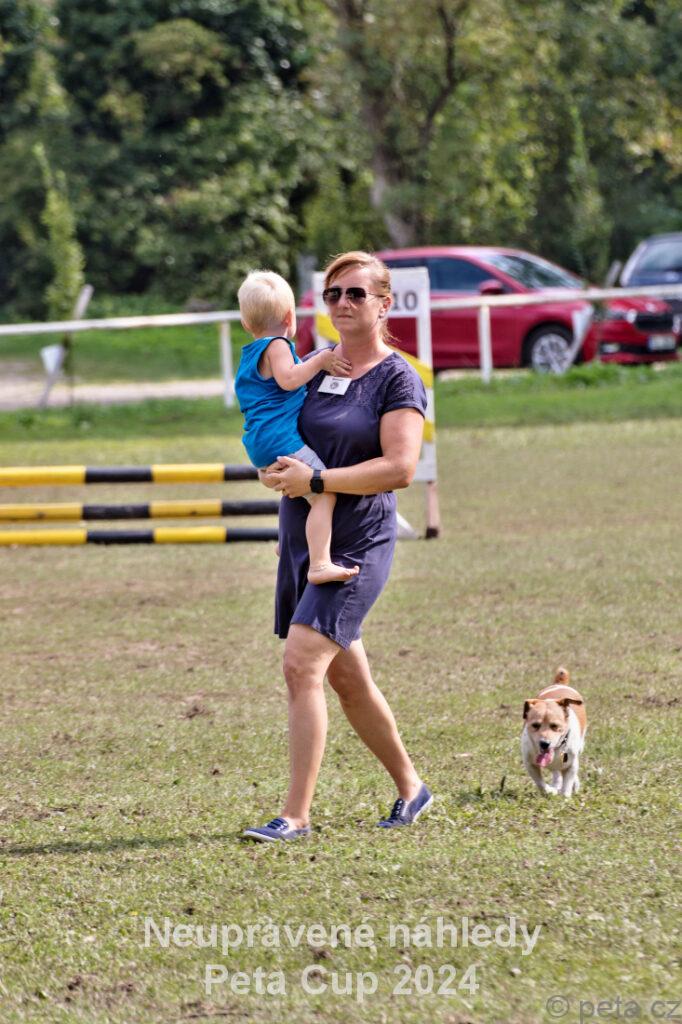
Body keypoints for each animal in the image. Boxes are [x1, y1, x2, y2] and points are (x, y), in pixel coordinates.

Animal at [521, 668, 587, 797]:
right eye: (535, 725)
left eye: (555, 726)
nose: (544, 743)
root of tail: (559, 684)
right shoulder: (530, 763)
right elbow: (540, 782)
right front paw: (551, 791)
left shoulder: (571, 764)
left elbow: (568, 782)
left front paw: (565, 797)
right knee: (556, 772)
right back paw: (556, 785)